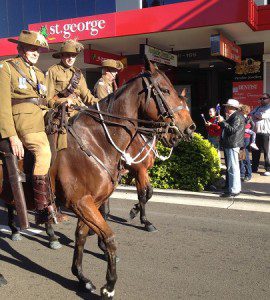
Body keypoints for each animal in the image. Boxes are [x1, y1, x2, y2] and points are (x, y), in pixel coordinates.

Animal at [0, 58, 195, 298]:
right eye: (165, 90)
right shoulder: (85, 201)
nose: (189, 128)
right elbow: (111, 237)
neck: (97, 140)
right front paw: (109, 285)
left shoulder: (93, 201)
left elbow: (83, 235)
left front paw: (82, 277)